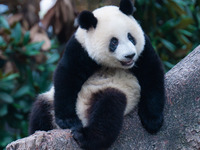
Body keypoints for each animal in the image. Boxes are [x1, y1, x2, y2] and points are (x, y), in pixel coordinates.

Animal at [28, 0, 165, 149]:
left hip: (111, 91)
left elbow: (151, 74)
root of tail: (83, 114)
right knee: (40, 110)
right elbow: (67, 77)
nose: (130, 55)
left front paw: (152, 120)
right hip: (50, 100)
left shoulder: (143, 50)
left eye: (130, 37)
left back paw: (84, 136)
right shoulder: (80, 48)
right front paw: (67, 120)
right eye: (114, 42)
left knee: (108, 110)